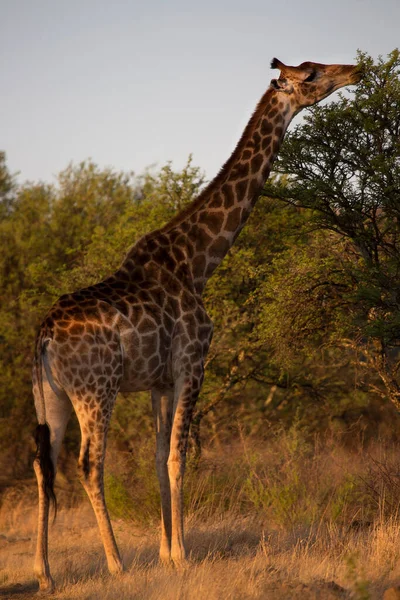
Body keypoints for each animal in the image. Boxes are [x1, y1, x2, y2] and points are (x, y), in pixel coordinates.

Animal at [32, 58, 360, 592]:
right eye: (311, 74)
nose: (355, 71)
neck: (198, 262)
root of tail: (42, 338)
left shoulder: (159, 381)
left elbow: (158, 457)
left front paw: (167, 555)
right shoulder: (193, 363)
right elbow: (177, 456)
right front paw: (182, 556)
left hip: (51, 396)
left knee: (44, 465)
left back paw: (44, 575)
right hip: (96, 388)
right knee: (88, 464)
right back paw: (116, 564)